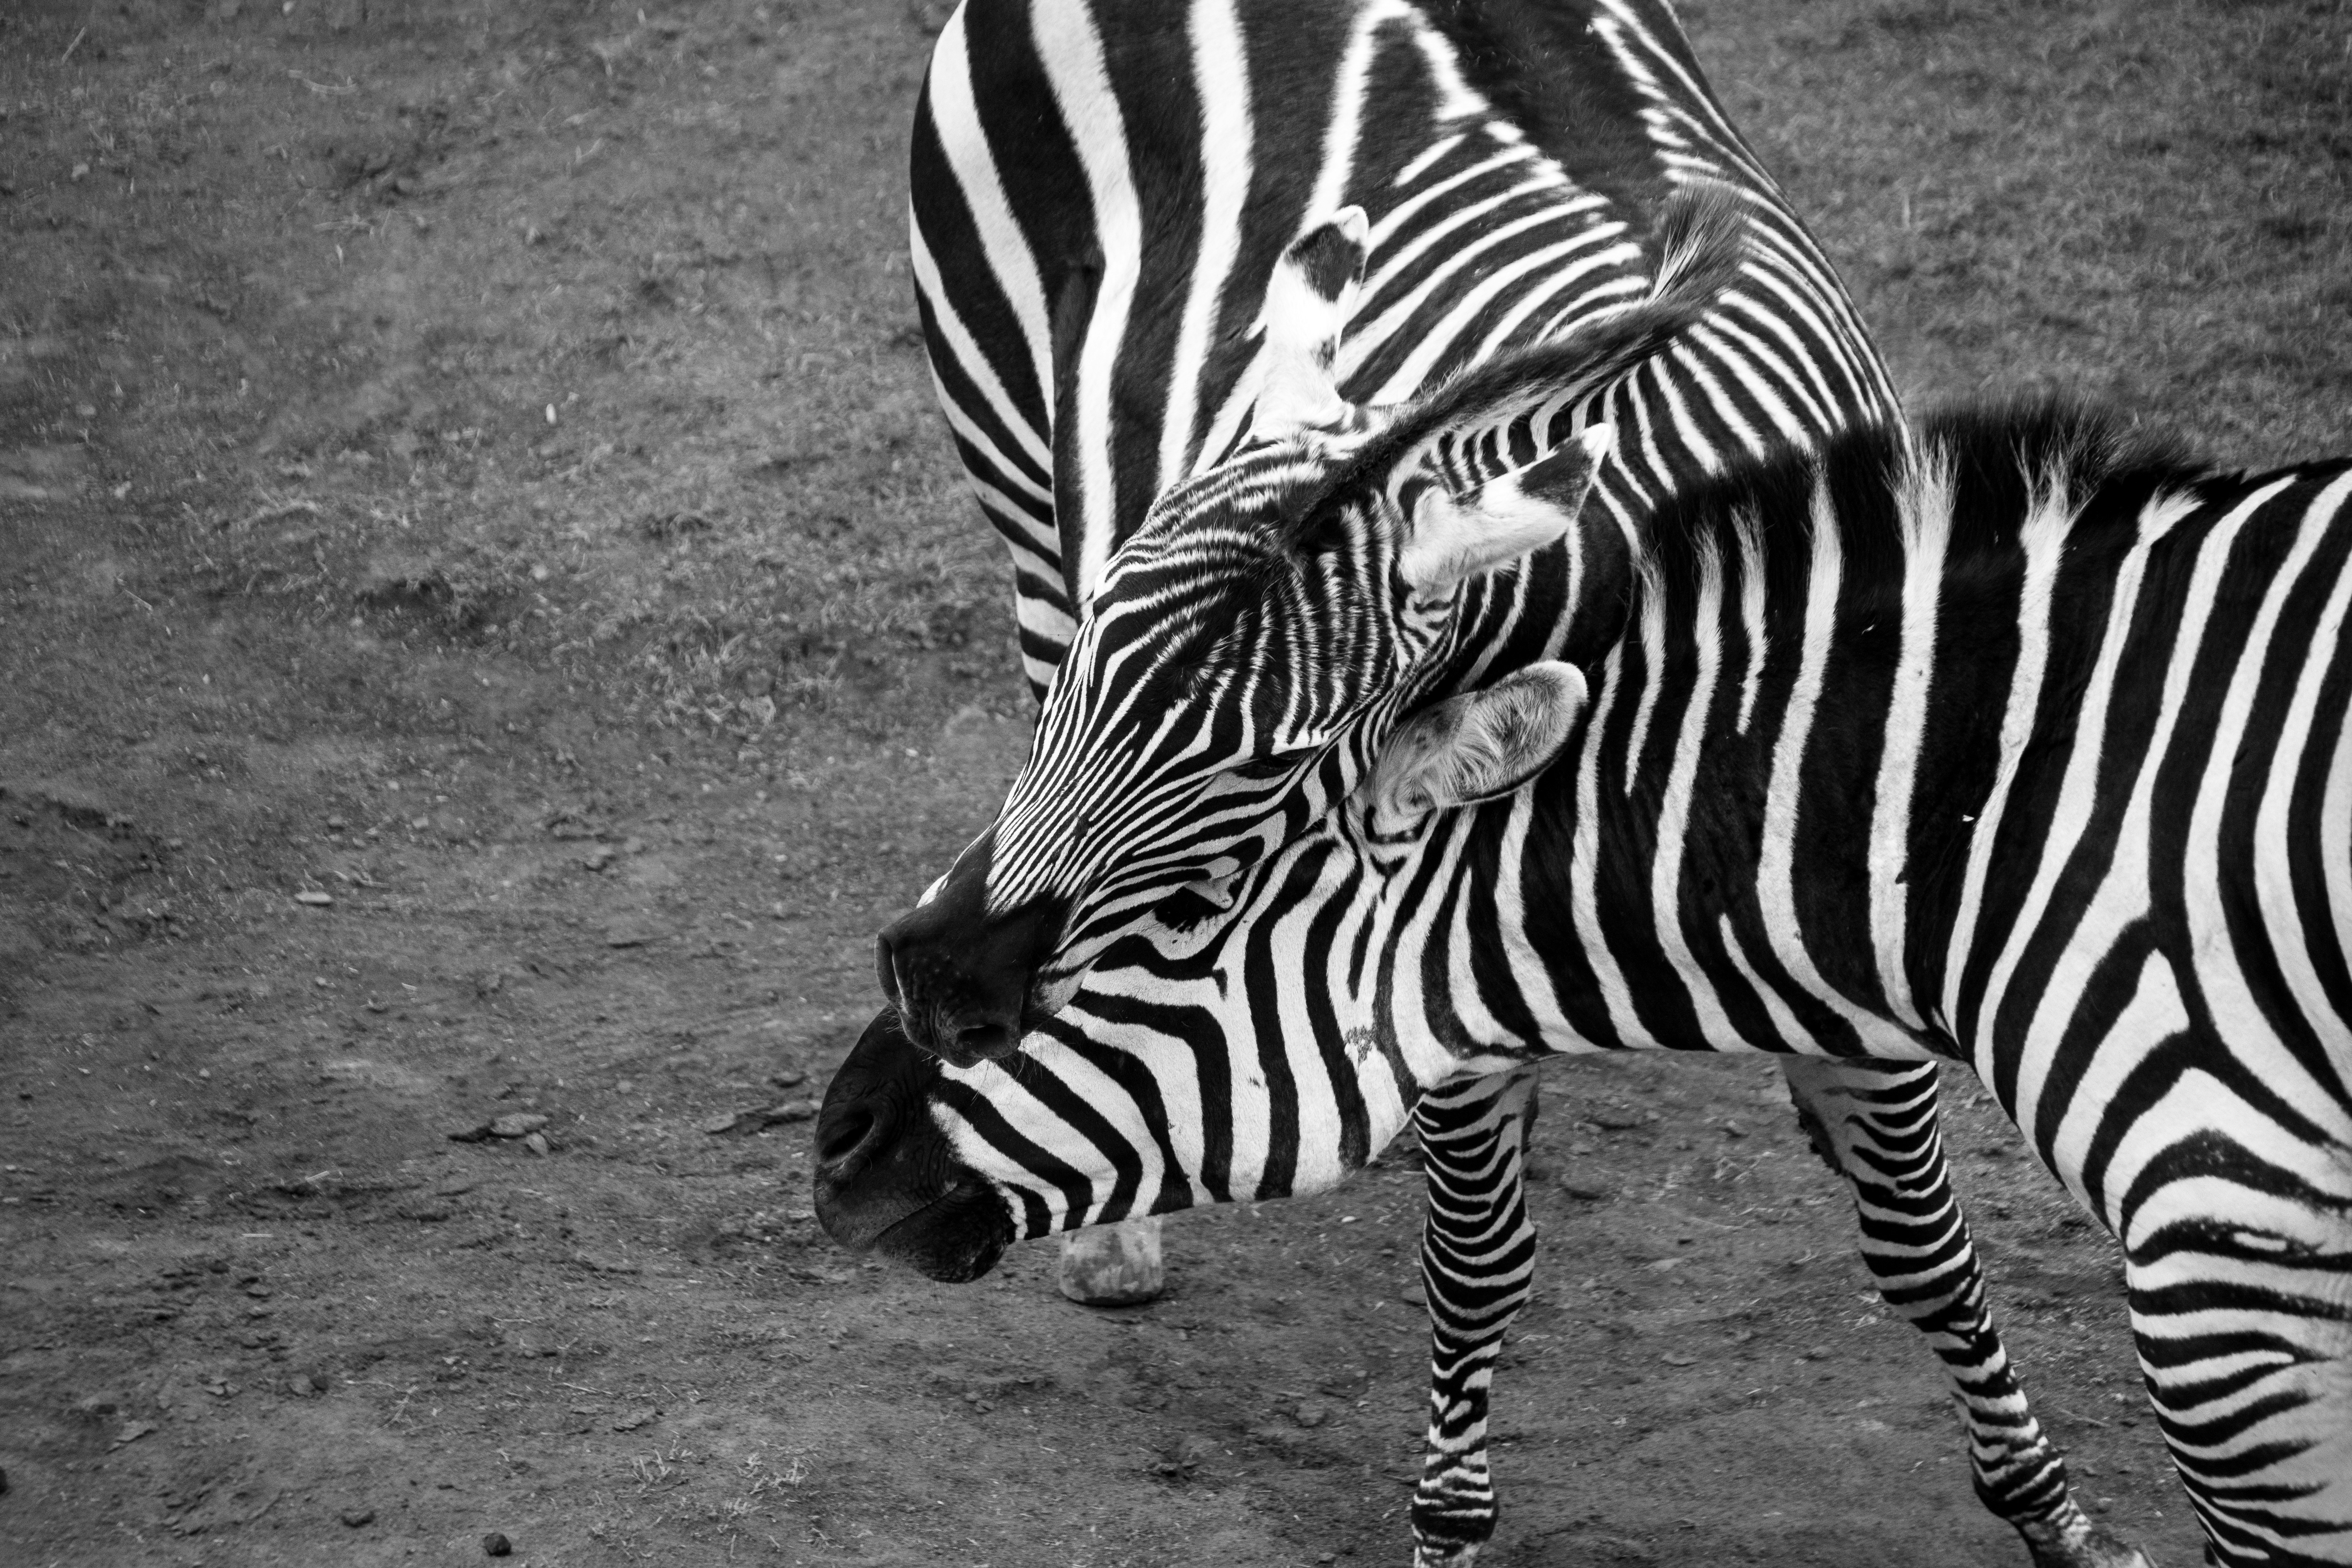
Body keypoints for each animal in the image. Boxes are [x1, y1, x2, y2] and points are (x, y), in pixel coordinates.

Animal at [855, 1, 2144, 1564]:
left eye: (1267, 758)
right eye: (1115, 660)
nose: (925, 979)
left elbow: (1923, 1248)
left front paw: (2049, 1508)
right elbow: (1476, 1268)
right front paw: (1448, 1520)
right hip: (1009, 450)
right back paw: (1115, 1239)